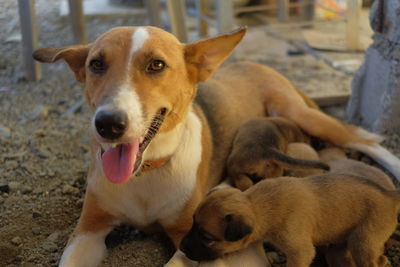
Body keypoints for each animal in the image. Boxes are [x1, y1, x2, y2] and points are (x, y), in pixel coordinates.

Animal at [181, 175, 400, 266]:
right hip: (343, 244)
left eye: (207, 237)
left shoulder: (300, 252)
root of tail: (390, 195)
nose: (181, 247)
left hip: (362, 242)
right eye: (192, 223)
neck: (258, 205)